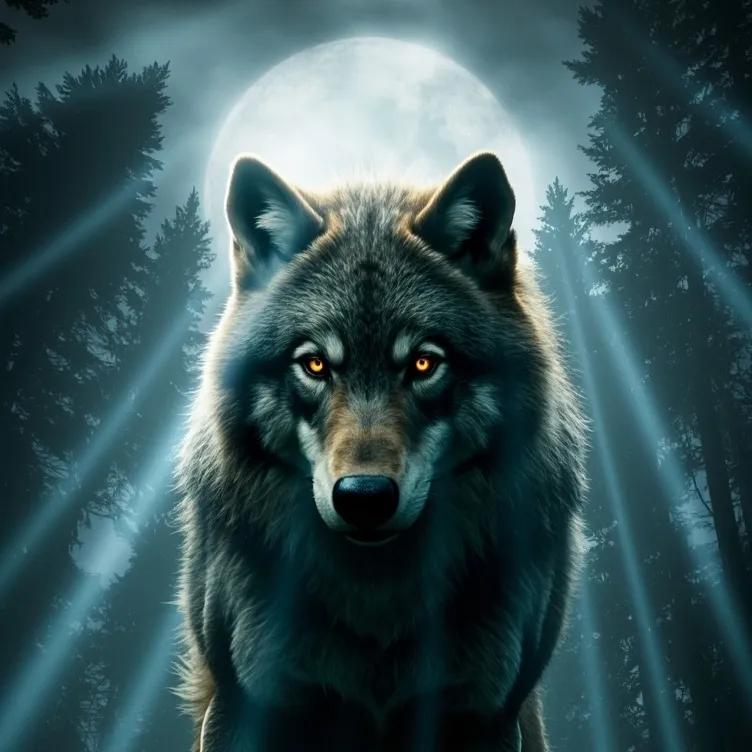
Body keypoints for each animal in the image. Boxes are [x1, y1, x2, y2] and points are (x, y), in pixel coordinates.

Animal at [175, 150, 588, 752]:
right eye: (314, 364)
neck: (377, 594)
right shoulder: (247, 702)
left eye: (423, 362)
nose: (364, 497)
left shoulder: (484, 712)